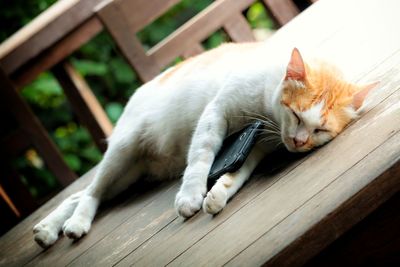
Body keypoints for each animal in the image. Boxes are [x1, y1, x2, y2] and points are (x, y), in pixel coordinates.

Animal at [32, 43, 376, 248]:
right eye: (295, 114)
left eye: (319, 130)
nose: (298, 141)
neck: (267, 115)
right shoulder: (215, 113)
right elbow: (201, 157)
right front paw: (191, 196)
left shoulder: (258, 145)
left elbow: (239, 172)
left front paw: (219, 194)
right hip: (124, 149)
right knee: (91, 191)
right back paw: (73, 224)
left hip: (131, 174)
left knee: (84, 194)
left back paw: (49, 228)